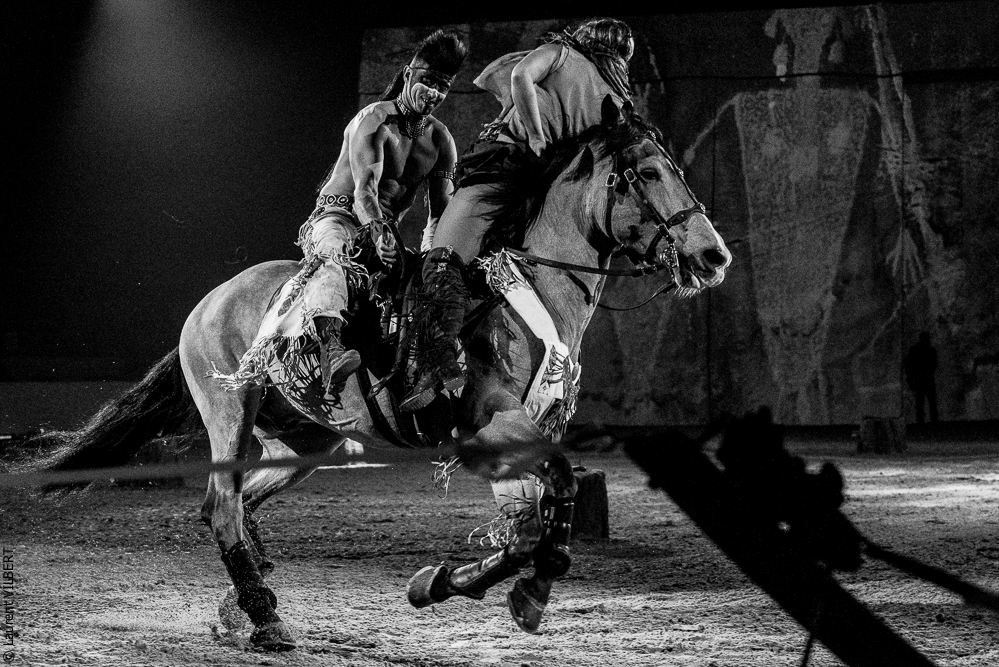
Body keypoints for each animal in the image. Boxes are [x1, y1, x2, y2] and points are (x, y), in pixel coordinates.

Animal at [20, 98, 731, 650]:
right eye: (645, 173)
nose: (713, 255)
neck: (523, 296)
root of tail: (209, 302)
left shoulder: (516, 438)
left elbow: (535, 522)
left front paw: (462, 585)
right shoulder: (488, 426)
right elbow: (550, 501)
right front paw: (488, 587)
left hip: (305, 442)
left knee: (233, 506)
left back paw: (246, 605)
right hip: (232, 412)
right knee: (222, 504)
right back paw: (265, 620)